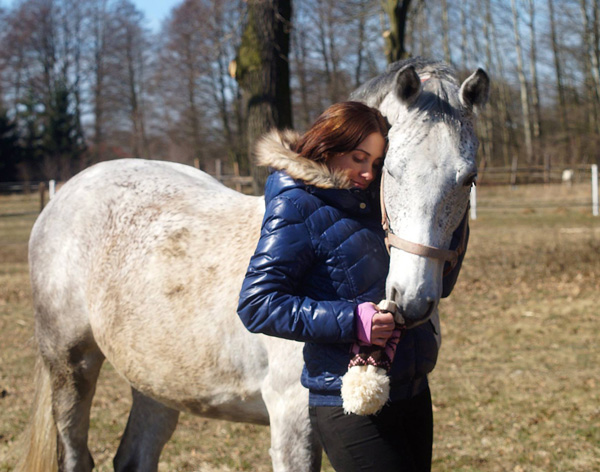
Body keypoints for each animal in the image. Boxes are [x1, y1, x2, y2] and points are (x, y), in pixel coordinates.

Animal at [18, 59, 488, 472]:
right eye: (390, 169)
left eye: (468, 178)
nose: (410, 301)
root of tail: (66, 193)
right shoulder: (292, 421)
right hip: (70, 367)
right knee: (76, 454)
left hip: (156, 378)